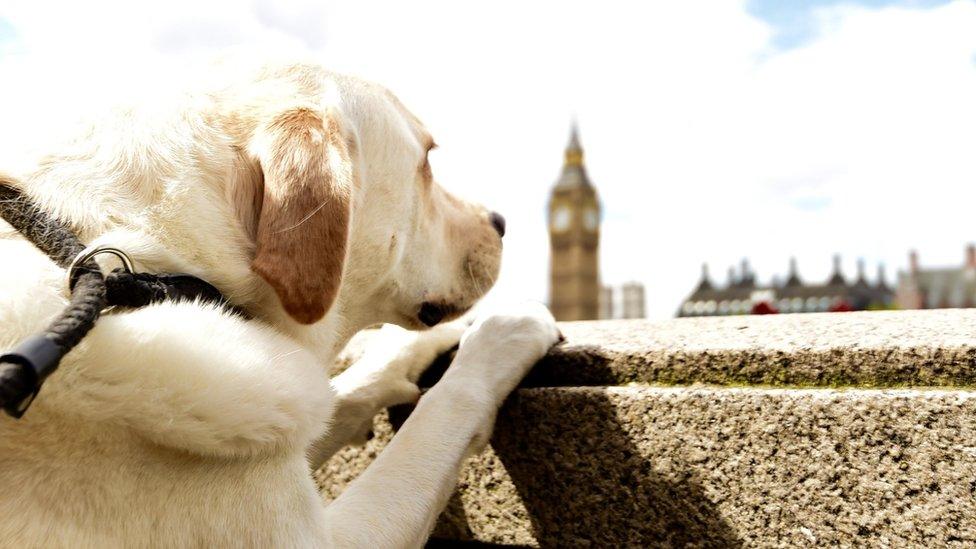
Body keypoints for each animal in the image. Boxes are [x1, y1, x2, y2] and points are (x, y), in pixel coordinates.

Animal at [0, 55, 556, 544]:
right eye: (426, 163)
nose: (500, 222)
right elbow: (441, 411)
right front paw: (506, 329)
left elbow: (344, 393)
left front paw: (410, 346)